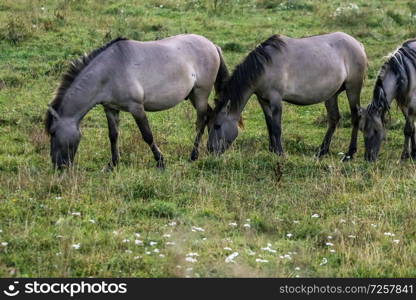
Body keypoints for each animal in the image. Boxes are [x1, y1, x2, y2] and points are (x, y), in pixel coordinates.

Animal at [44, 34, 228, 170]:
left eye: (53, 132)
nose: (58, 166)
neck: (109, 71)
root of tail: (213, 45)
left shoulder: (136, 108)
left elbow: (147, 135)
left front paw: (160, 162)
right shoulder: (110, 109)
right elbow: (113, 135)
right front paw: (112, 164)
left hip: (200, 93)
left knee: (200, 121)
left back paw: (193, 156)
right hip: (192, 96)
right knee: (210, 115)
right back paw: (211, 148)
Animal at [206, 31, 366, 161]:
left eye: (217, 125)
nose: (210, 150)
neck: (266, 66)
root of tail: (357, 44)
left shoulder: (276, 99)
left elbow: (277, 127)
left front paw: (280, 153)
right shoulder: (262, 99)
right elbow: (269, 124)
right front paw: (272, 150)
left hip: (353, 88)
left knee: (355, 117)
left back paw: (349, 154)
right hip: (332, 94)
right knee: (333, 119)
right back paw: (321, 152)